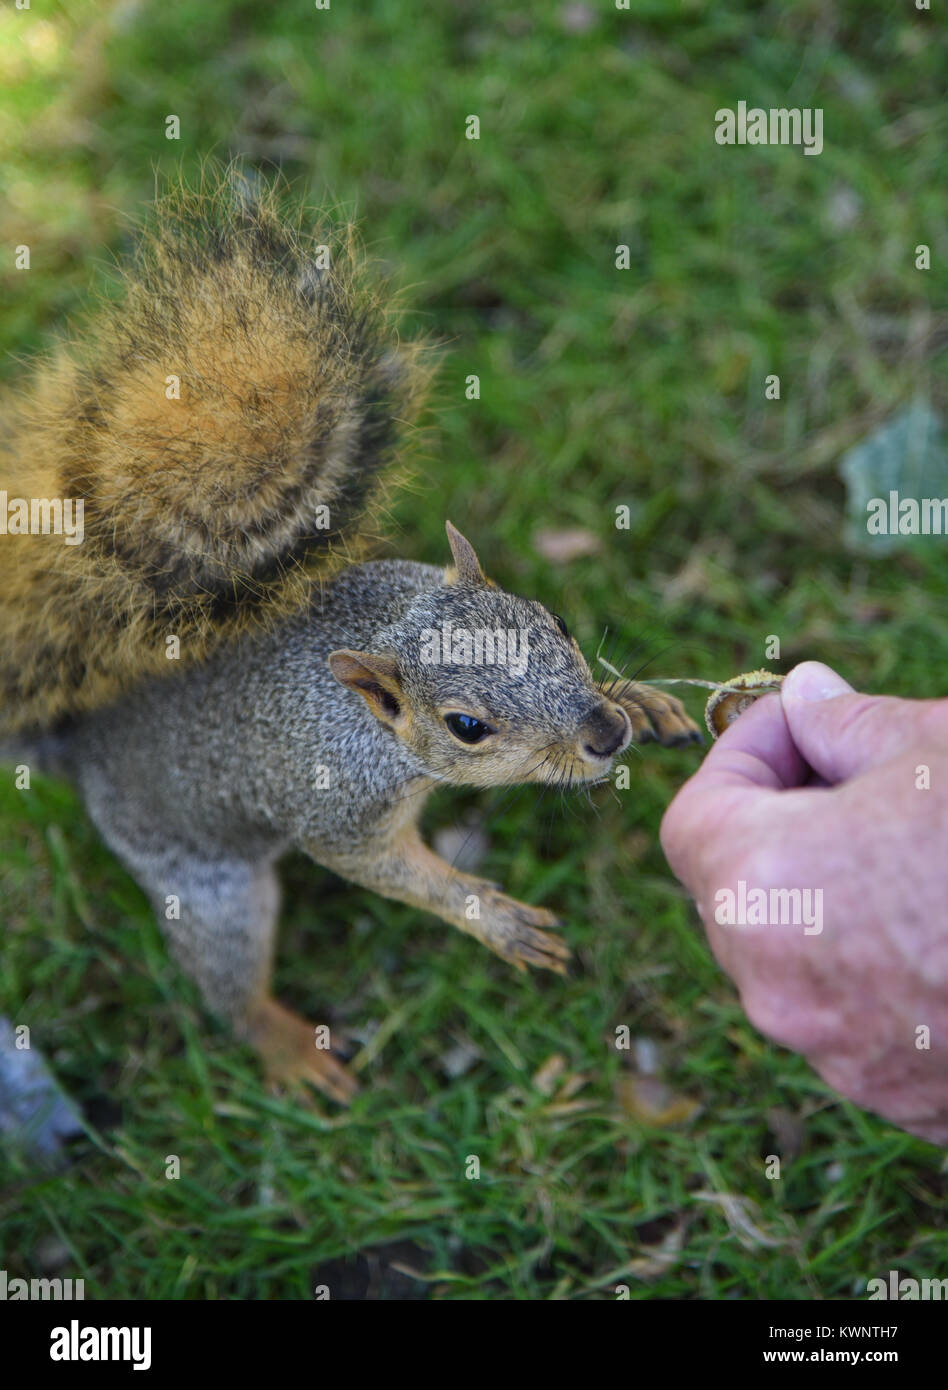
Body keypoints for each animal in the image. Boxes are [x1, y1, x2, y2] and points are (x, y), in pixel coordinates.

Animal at [1, 173, 700, 1100]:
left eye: (552, 620)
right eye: (466, 727)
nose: (604, 732)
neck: (387, 630)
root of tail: (85, 746)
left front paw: (645, 701)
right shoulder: (340, 806)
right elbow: (377, 868)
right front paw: (495, 920)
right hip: (206, 881)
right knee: (230, 981)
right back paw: (288, 1049)